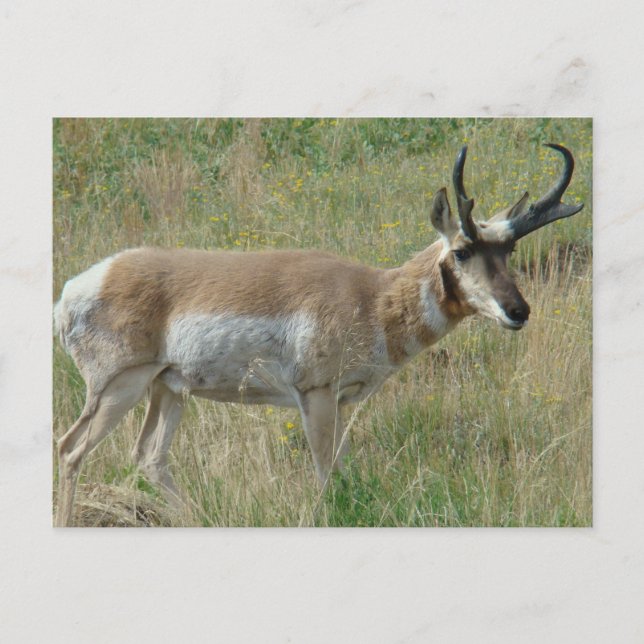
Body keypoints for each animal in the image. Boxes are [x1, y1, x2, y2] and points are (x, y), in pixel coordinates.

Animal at [54, 144, 583, 527]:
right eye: (462, 251)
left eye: (509, 250)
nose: (518, 311)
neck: (371, 296)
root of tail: (79, 286)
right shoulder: (316, 395)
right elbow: (326, 474)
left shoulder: (345, 401)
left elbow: (342, 471)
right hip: (119, 387)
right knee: (71, 449)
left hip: (168, 389)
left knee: (148, 457)